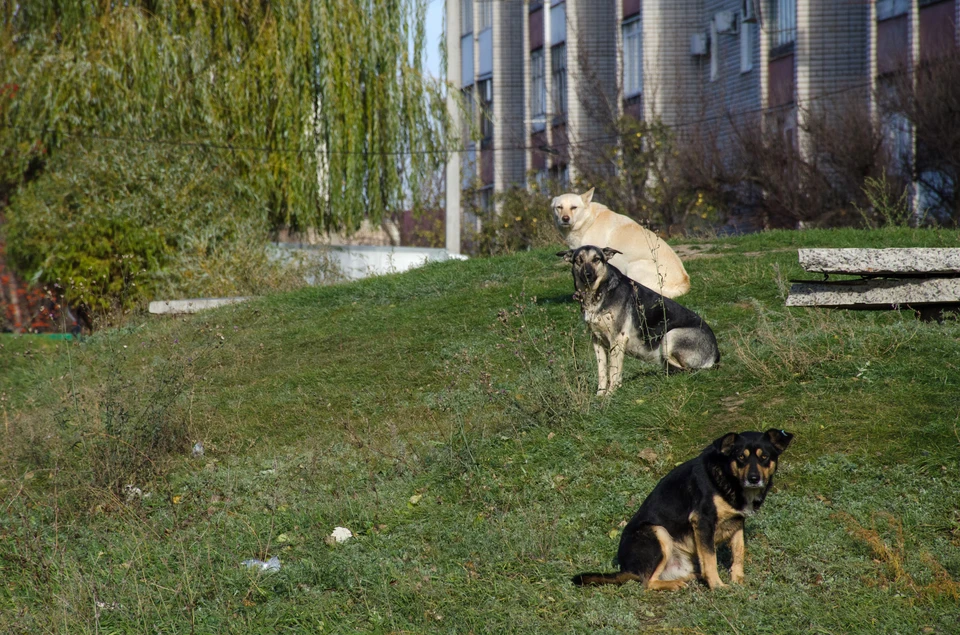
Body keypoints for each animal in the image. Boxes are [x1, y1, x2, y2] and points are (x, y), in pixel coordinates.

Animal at [548, 189, 688, 298]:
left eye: (574, 207)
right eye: (559, 207)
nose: (565, 219)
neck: (588, 222)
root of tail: (685, 282)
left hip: (634, 267)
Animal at [556, 246, 720, 396]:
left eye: (596, 259)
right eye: (578, 260)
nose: (587, 274)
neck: (597, 293)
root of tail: (716, 353)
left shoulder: (617, 340)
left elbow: (613, 371)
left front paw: (610, 395)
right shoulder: (597, 341)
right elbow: (602, 372)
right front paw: (600, 396)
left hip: (670, 336)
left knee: (688, 369)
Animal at [572, 430, 792, 592]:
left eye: (765, 457)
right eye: (740, 457)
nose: (754, 479)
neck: (728, 476)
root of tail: (626, 568)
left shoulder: (738, 522)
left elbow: (739, 552)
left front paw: (738, 579)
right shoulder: (703, 521)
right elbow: (711, 559)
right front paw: (718, 586)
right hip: (657, 531)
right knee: (647, 583)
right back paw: (675, 584)